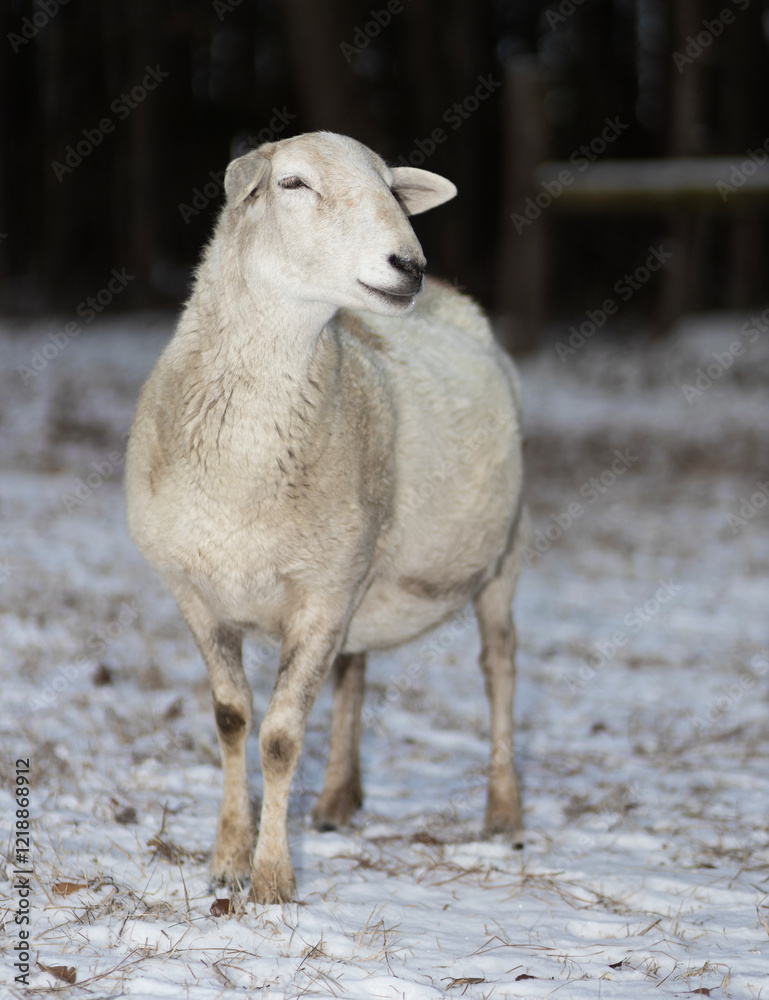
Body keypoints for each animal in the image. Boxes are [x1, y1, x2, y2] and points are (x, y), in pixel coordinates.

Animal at [125, 131, 526, 904]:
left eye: (393, 190)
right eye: (293, 184)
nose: (410, 266)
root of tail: (456, 298)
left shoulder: (321, 594)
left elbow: (281, 736)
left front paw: (272, 881)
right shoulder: (196, 590)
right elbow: (232, 720)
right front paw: (227, 857)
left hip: (500, 556)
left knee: (498, 669)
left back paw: (504, 812)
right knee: (355, 669)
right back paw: (339, 798)